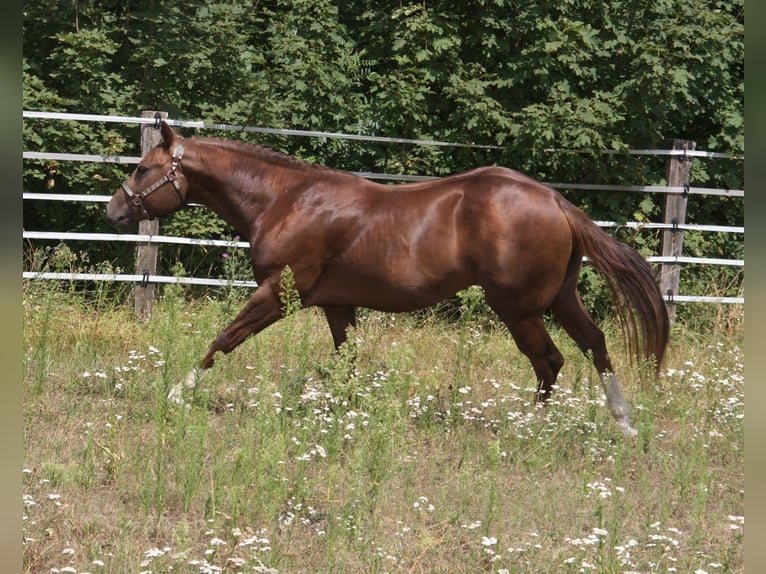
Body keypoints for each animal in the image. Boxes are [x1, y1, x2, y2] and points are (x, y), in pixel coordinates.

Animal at [106, 121, 669, 436]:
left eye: (141, 168)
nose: (113, 211)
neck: (285, 201)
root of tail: (556, 200)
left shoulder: (279, 295)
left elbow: (224, 339)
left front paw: (177, 393)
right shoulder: (337, 305)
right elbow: (348, 363)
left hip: (518, 307)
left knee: (550, 361)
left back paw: (528, 427)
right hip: (560, 297)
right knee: (595, 344)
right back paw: (624, 423)